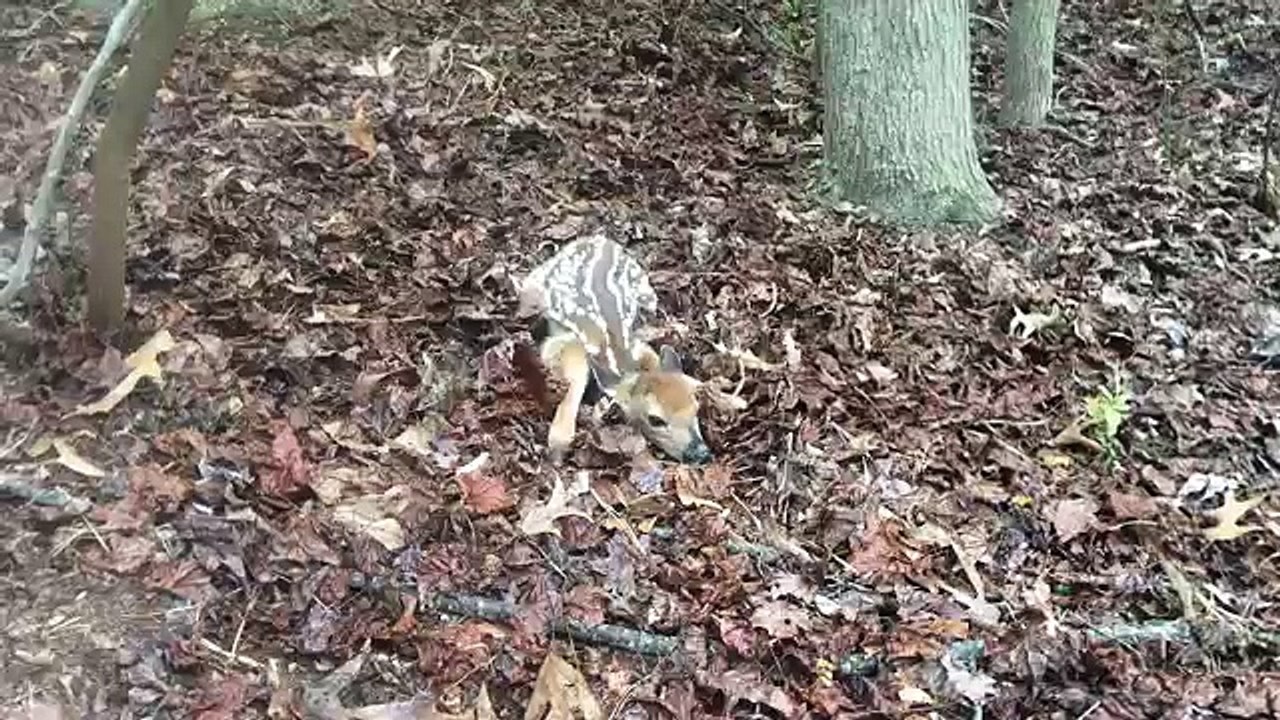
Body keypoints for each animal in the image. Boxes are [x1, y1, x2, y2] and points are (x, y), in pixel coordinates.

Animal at [514, 232, 713, 465]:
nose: (700, 453)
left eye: (696, 408)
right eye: (655, 420)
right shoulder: (566, 343)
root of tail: (597, 239)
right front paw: (557, 447)